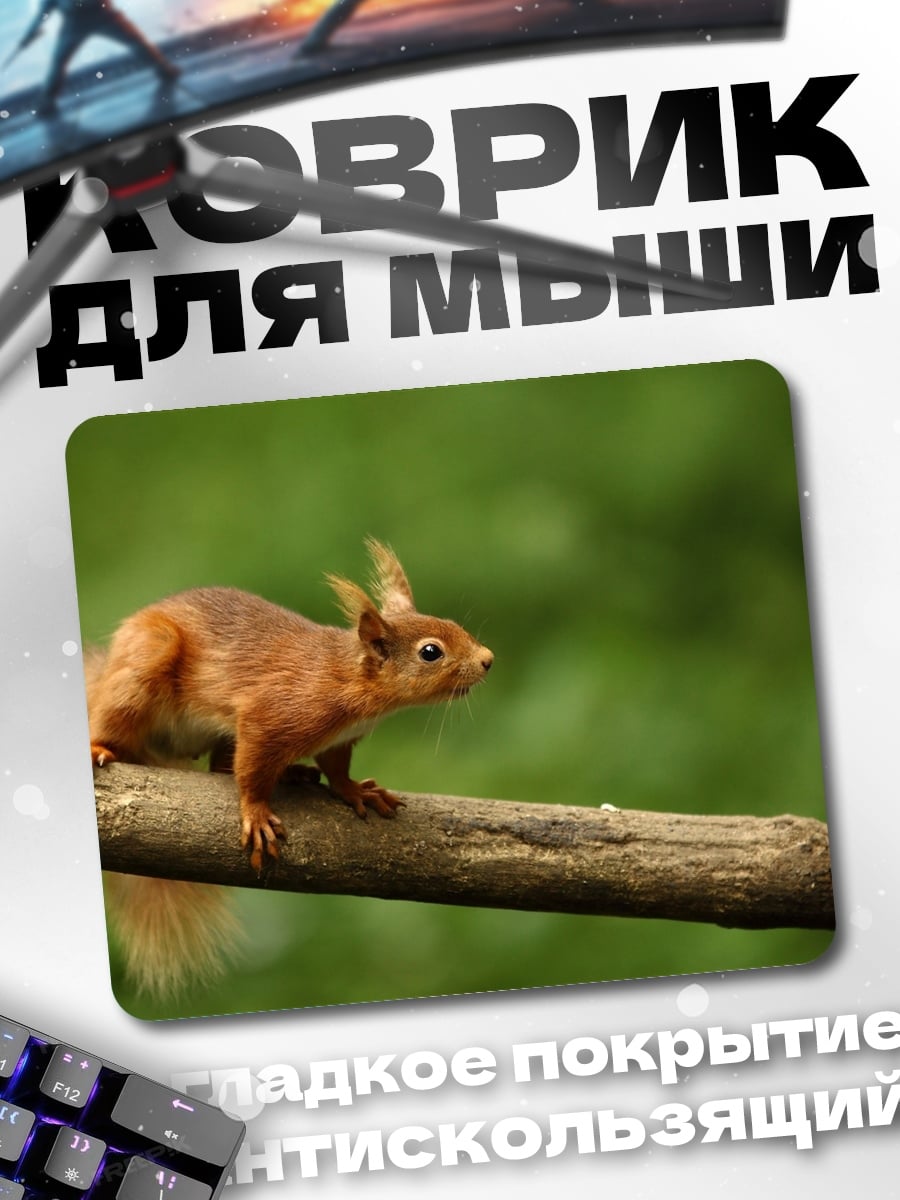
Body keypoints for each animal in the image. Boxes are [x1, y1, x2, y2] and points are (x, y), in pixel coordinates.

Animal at [87, 538, 493, 999]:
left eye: (452, 624)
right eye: (430, 652)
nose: (488, 659)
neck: (347, 678)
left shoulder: (338, 740)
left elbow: (336, 769)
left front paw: (355, 790)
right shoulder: (270, 715)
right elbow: (251, 772)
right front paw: (256, 813)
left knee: (219, 768)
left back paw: (293, 773)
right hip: (145, 665)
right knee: (119, 718)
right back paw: (100, 746)